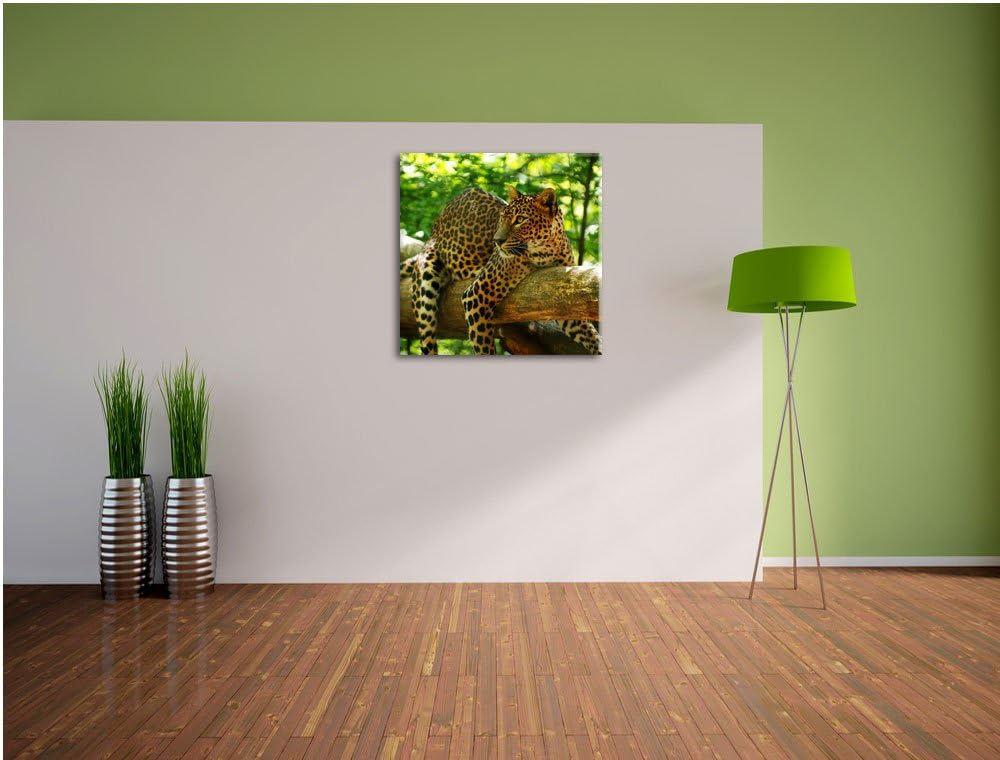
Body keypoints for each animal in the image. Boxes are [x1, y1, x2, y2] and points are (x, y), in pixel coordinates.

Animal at [400, 186, 602, 355]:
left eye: (520, 220)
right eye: (502, 219)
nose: (496, 241)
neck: (548, 250)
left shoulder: (562, 298)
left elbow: (588, 333)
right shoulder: (476, 295)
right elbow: (483, 347)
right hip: (425, 289)